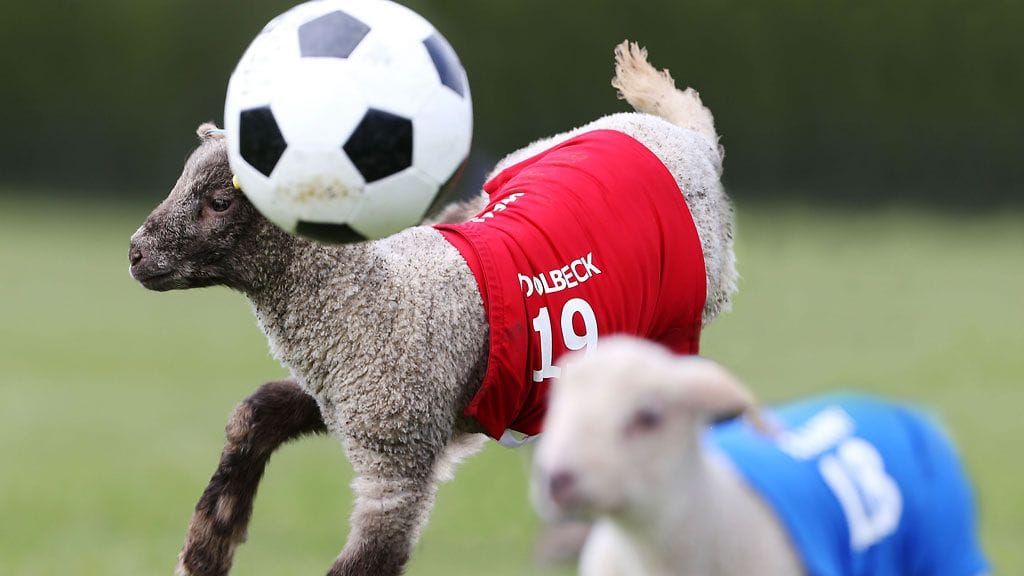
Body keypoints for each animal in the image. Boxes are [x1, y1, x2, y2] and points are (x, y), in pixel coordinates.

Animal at [128, 41, 736, 576]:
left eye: (220, 202)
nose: (134, 252)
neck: (372, 296)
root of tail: (689, 136)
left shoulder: (398, 457)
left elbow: (364, 562)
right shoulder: (365, 400)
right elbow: (255, 412)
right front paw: (204, 554)